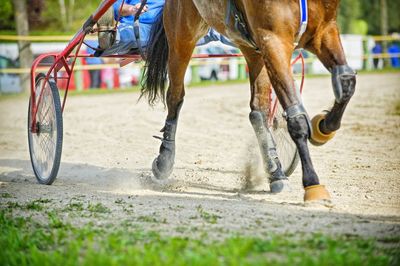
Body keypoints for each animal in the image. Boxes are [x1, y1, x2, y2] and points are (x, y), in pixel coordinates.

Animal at [140, 0, 356, 206]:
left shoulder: (324, 30)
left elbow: (346, 82)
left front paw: (323, 127)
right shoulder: (274, 40)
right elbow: (297, 119)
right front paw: (313, 184)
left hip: (252, 47)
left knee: (258, 110)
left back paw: (276, 172)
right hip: (182, 36)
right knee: (175, 96)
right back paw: (164, 160)